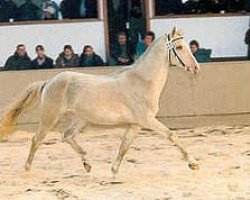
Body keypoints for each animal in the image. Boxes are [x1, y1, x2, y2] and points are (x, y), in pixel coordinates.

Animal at [0, 27, 199, 177]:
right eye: (179, 47)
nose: (196, 68)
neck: (142, 81)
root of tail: (49, 81)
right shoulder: (148, 120)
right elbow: (172, 135)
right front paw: (193, 163)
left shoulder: (135, 125)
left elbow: (124, 146)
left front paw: (114, 170)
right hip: (50, 118)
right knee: (37, 140)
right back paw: (27, 169)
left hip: (81, 119)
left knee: (67, 136)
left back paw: (87, 164)